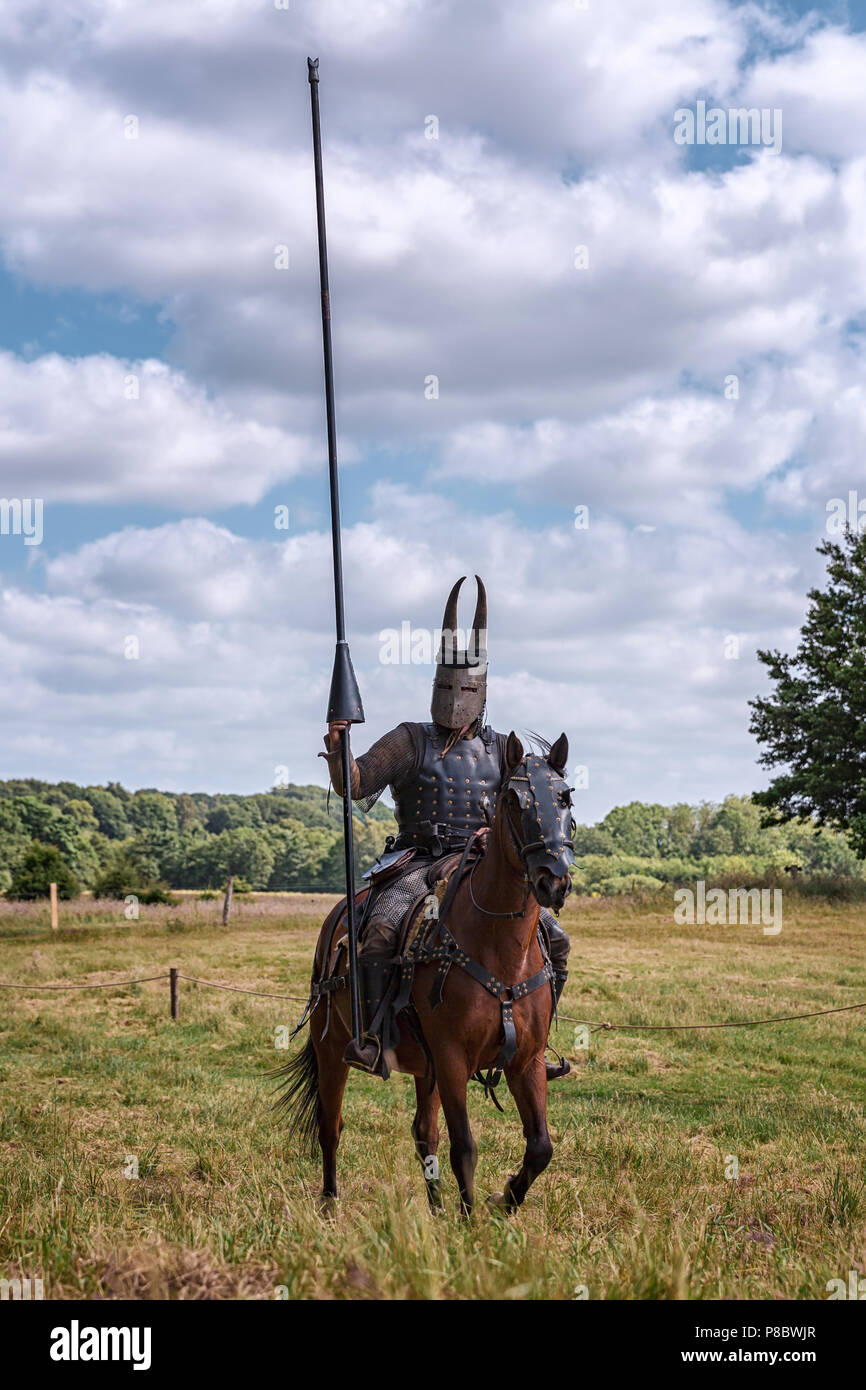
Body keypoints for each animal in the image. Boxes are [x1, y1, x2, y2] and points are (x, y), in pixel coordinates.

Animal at [278, 733, 575, 1212]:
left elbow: (540, 1147)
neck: (499, 948)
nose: (554, 880)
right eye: (514, 801)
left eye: (565, 797)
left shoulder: (525, 1061)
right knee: (331, 1125)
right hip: (333, 1045)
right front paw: (471, 1219)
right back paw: (329, 1202)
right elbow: (465, 1147)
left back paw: (435, 1209)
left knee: (423, 1133)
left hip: (425, 1067)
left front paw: (503, 1201)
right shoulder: (452, 1059)